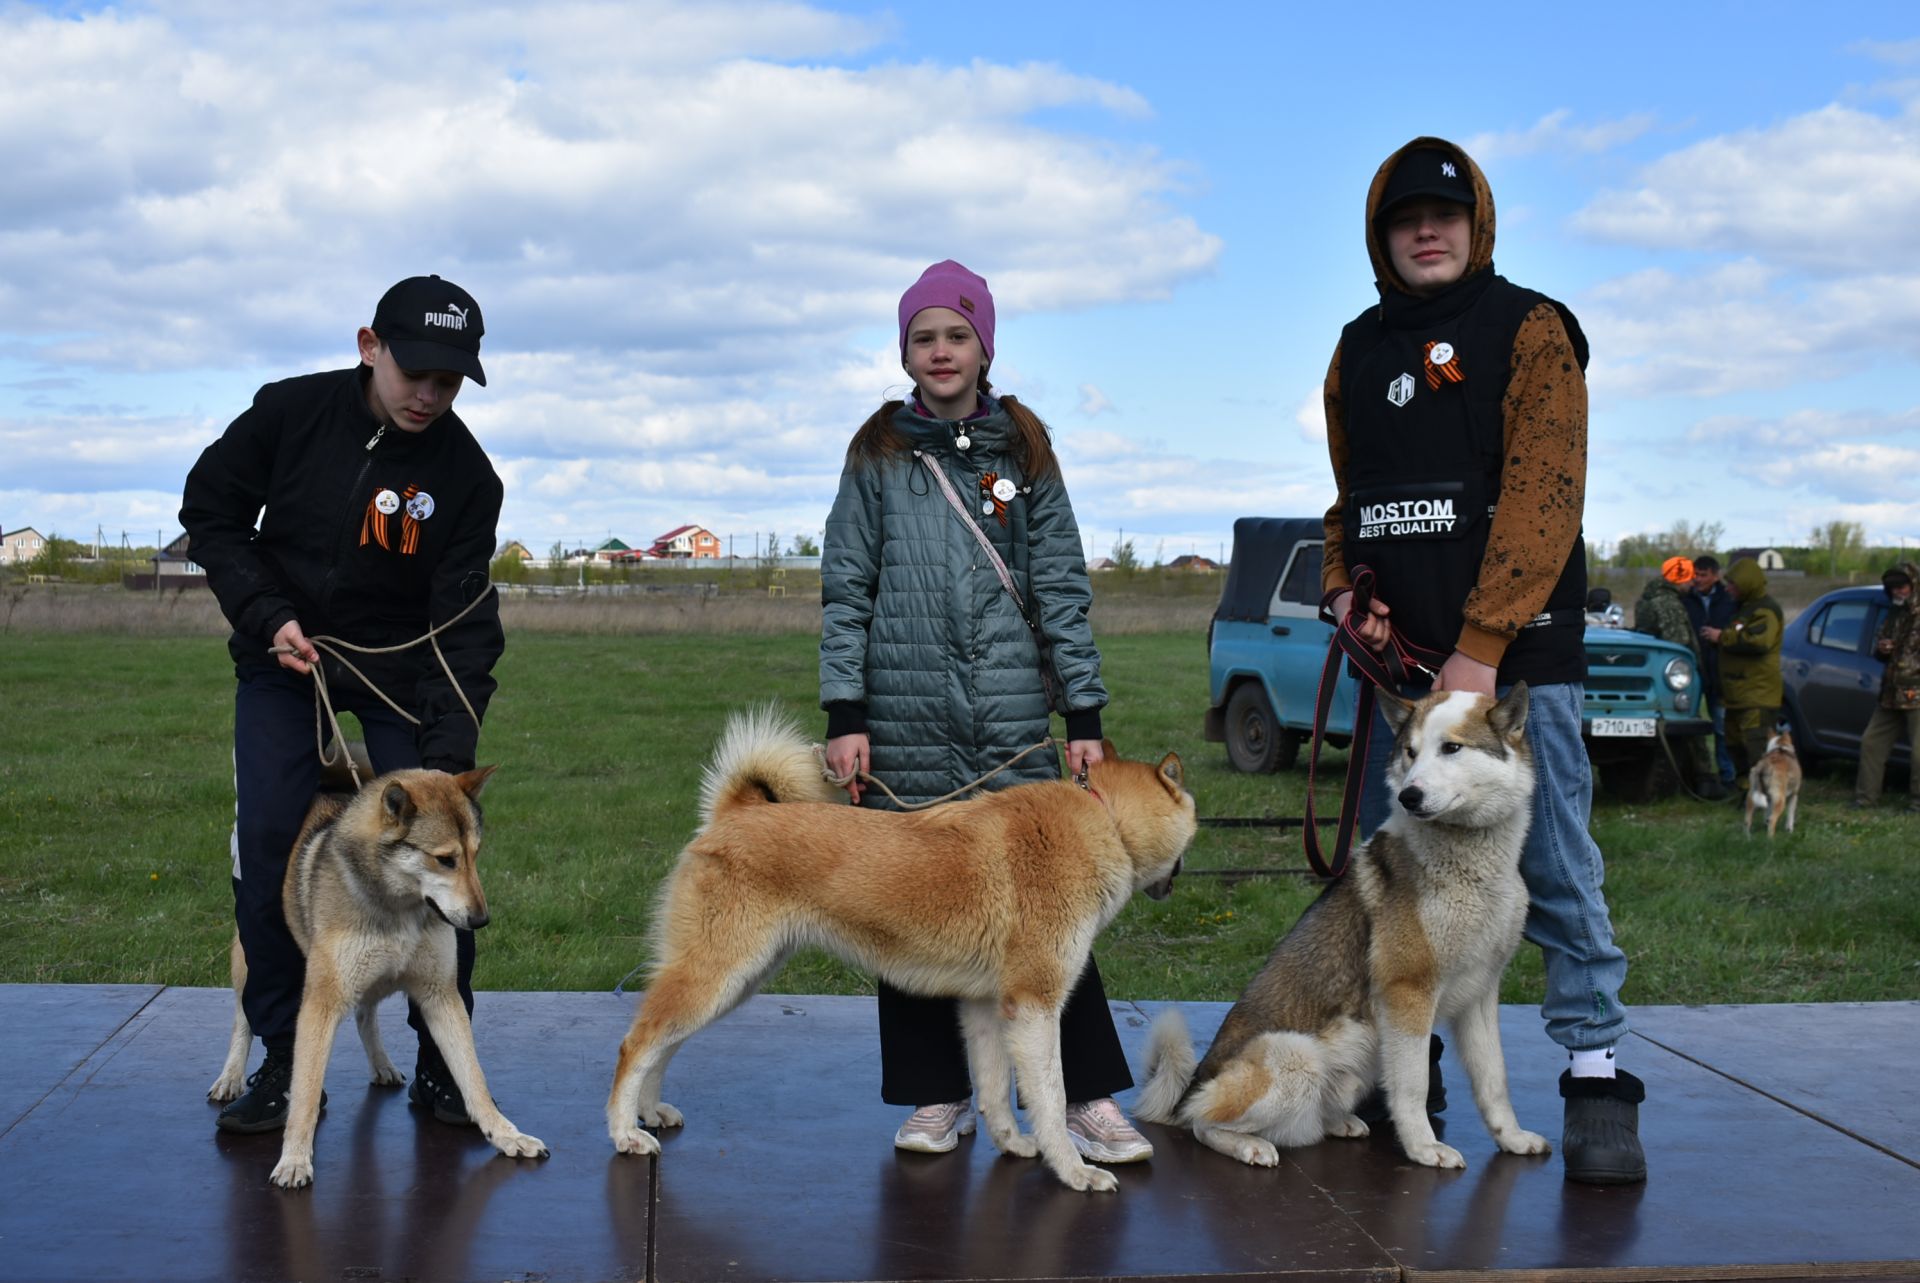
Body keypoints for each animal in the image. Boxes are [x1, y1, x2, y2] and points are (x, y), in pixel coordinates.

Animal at [606, 706, 1190, 1190]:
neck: (1105, 818)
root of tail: (735, 812)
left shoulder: (988, 1008)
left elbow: (995, 1091)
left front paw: (1012, 1144)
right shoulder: (1035, 1007)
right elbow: (1051, 1097)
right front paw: (1073, 1171)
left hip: (733, 981)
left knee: (664, 1042)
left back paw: (650, 1111)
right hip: (717, 975)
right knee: (637, 1044)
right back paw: (624, 1132)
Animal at [1128, 691, 1551, 1175]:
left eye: (1451, 748)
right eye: (1410, 752)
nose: (1409, 795)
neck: (1471, 866)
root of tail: (1191, 1084)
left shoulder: (1481, 994)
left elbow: (1493, 1080)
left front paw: (1511, 1138)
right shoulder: (1408, 994)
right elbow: (1414, 1086)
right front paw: (1424, 1147)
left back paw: (1338, 1122)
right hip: (1296, 1057)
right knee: (1203, 1123)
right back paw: (1249, 1146)